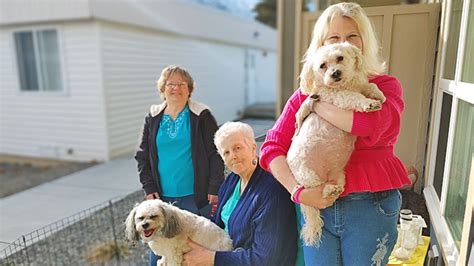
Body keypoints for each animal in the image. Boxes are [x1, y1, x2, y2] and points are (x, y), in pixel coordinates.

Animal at [288, 42, 386, 246]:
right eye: (322, 66)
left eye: (340, 58)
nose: (335, 73)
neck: (346, 84)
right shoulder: (337, 97)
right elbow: (354, 98)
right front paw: (368, 104)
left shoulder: (360, 85)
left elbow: (370, 85)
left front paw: (378, 95)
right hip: (308, 175)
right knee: (318, 190)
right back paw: (327, 190)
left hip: (339, 175)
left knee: (333, 187)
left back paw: (334, 189)